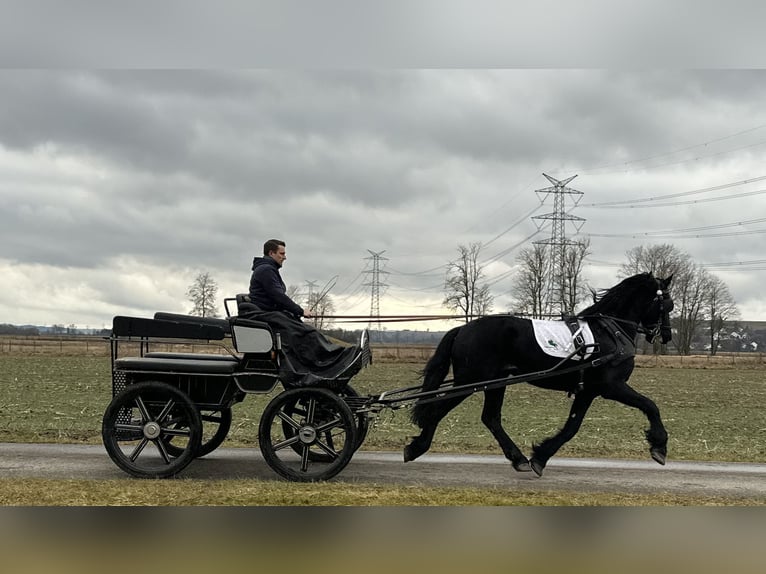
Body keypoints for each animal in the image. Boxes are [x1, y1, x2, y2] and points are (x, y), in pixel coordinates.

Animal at [404, 274, 676, 476]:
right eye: (667, 304)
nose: (666, 335)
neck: (609, 333)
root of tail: (462, 329)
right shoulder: (611, 386)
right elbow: (650, 406)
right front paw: (659, 446)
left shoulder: (587, 391)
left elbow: (572, 427)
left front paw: (540, 456)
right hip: (472, 381)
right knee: (438, 409)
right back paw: (416, 447)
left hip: (494, 383)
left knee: (490, 418)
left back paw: (518, 459)